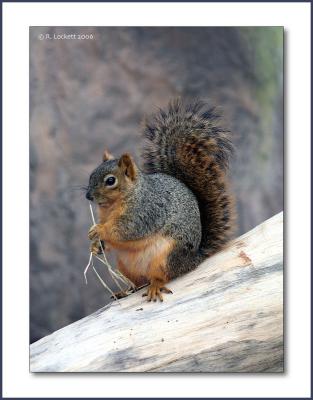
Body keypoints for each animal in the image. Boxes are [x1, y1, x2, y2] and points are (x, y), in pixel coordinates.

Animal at [85, 99, 234, 300]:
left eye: (110, 181)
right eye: (91, 175)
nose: (88, 196)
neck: (112, 206)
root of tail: (193, 260)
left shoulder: (145, 210)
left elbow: (125, 229)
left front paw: (99, 230)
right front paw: (96, 246)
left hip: (166, 257)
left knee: (162, 276)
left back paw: (155, 286)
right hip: (125, 264)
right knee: (138, 282)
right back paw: (124, 291)